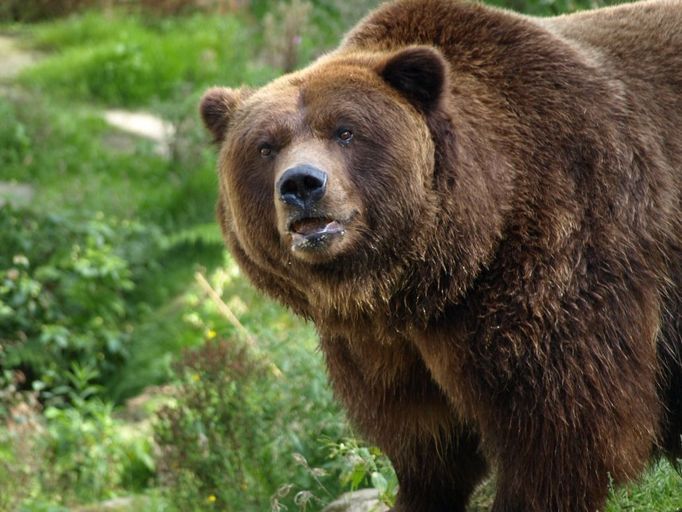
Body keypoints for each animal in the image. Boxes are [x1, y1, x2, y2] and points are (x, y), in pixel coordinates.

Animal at [199, 2, 676, 510]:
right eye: (266, 146)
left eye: (345, 131)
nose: (302, 184)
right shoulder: (387, 351)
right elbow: (427, 447)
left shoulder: (559, 261)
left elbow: (559, 432)